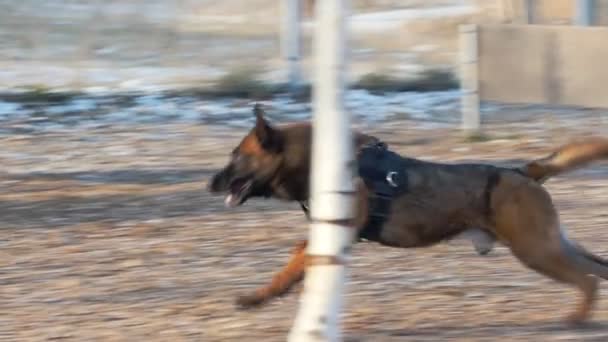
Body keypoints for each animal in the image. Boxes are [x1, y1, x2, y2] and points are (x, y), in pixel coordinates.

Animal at [208, 104, 608, 324]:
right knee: (597, 269)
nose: (210, 182)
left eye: (236, 156)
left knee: (588, 279)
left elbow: (290, 267)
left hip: (537, 250)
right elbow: (295, 260)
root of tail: (522, 172)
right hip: (550, 245)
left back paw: (577, 318)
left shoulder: (338, 232)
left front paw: (260, 297)